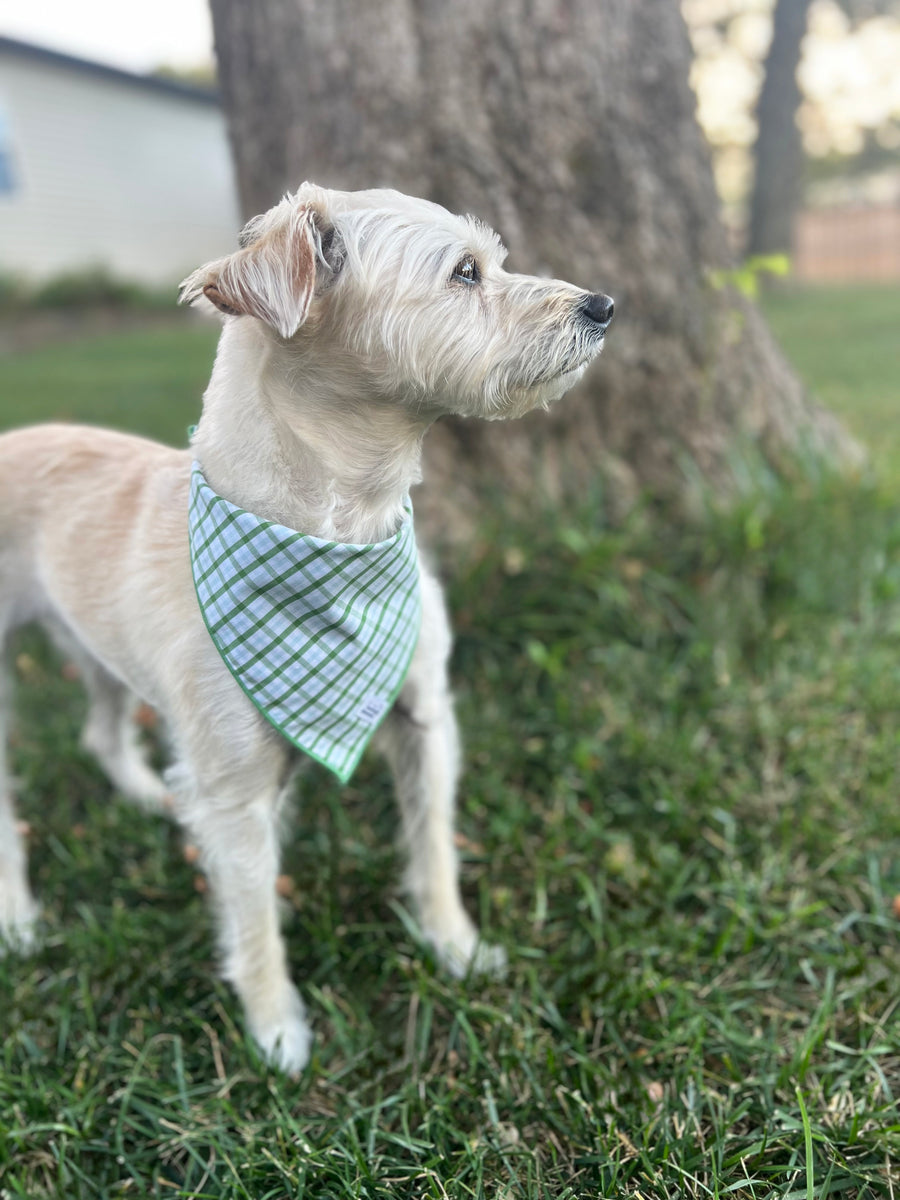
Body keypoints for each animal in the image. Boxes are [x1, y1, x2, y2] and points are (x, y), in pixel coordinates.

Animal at [0, 180, 614, 1070]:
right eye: (464, 272)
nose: (605, 306)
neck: (341, 533)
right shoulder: (233, 796)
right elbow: (255, 919)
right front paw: (275, 1031)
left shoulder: (426, 722)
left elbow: (433, 849)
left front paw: (455, 948)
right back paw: (17, 918)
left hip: (97, 644)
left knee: (101, 732)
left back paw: (151, 797)